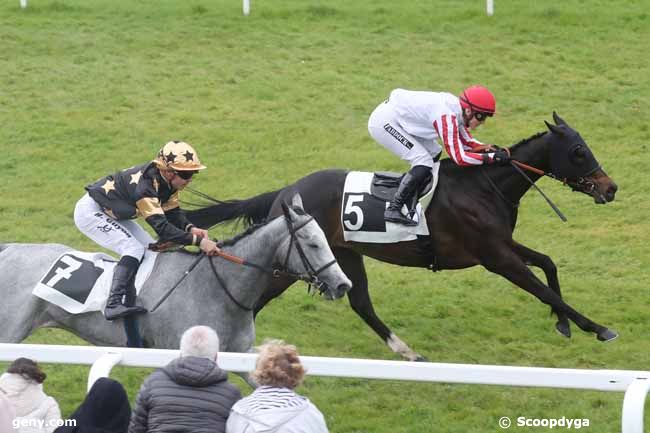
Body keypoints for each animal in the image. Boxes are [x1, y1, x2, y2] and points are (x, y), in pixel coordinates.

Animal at [0, 195, 352, 352]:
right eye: (313, 243)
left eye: (325, 239)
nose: (342, 284)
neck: (219, 289)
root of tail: (8, 249)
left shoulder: (239, 354)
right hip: (10, 332)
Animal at [187, 113, 616, 360]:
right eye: (579, 151)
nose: (610, 189)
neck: (482, 186)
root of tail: (286, 191)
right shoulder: (494, 257)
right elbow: (541, 288)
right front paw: (596, 328)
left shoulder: (502, 245)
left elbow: (548, 264)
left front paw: (563, 323)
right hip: (291, 263)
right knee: (256, 300)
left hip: (342, 254)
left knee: (361, 302)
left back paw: (406, 351)